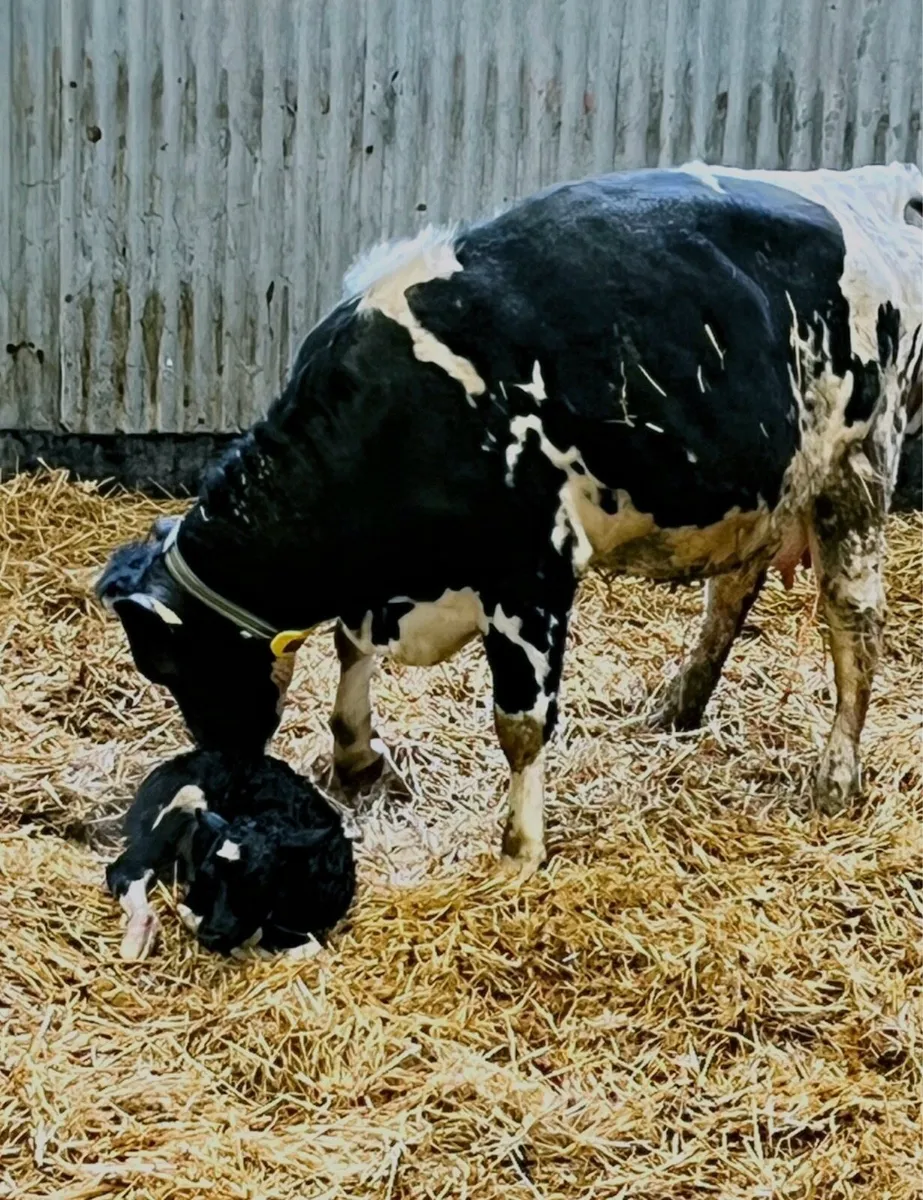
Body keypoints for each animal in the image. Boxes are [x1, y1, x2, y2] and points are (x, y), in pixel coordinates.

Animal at [96, 162, 923, 884]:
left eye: (178, 666)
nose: (223, 770)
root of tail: (867, 183)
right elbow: (349, 644)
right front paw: (358, 756)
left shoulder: (532, 568)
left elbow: (519, 720)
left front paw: (519, 850)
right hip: (765, 484)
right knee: (731, 592)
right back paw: (679, 705)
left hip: (857, 465)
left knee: (854, 621)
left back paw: (836, 774)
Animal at [106, 751, 355, 958]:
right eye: (206, 874)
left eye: (255, 882)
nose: (211, 934)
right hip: (185, 798)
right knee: (125, 869)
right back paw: (140, 932)